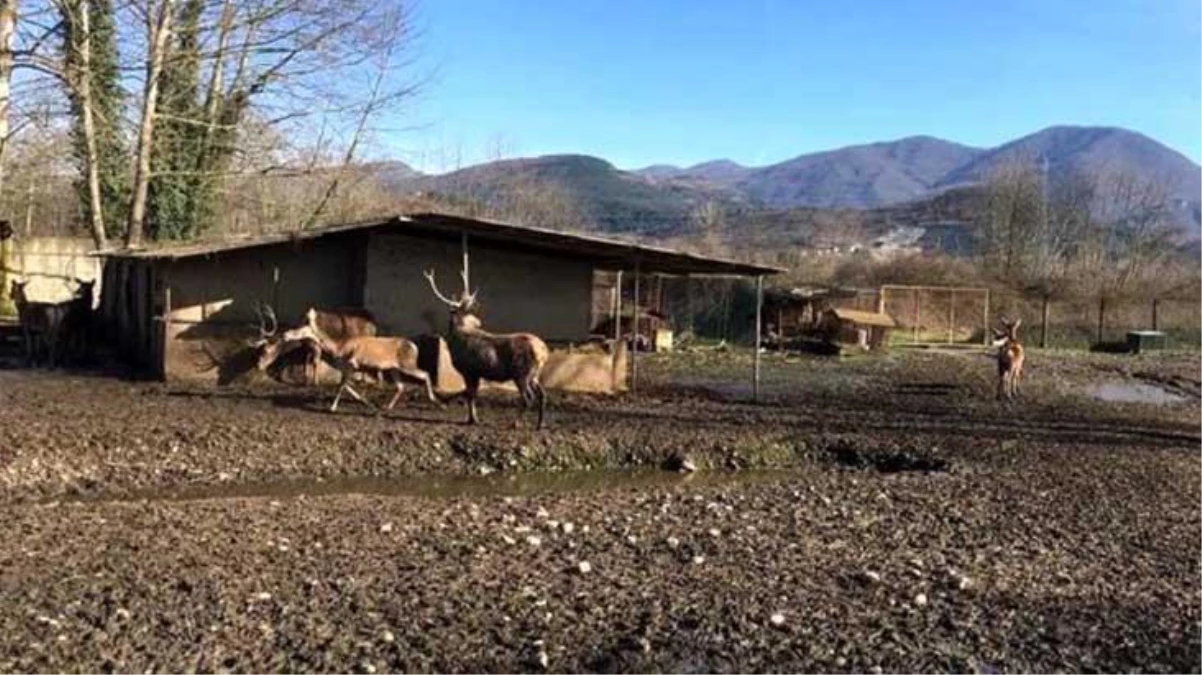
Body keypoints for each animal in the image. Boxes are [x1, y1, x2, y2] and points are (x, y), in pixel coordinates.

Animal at [252, 305, 437, 410]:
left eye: (303, 326)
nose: (287, 334)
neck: (339, 349)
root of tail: (414, 347)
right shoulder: (346, 367)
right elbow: (345, 385)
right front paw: (365, 402)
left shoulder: (351, 364)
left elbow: (341, 386)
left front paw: (333, 407)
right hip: (394, 368)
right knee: (400, 386)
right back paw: (387, 406)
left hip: (407, 365)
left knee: (425, 373)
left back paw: (433, 399)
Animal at [423, 266, 550, 427]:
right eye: (468, 313)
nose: (479, 321)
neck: (455, 339)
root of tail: (544, 352)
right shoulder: (476, 373)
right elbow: (471, 394)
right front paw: (470, 417)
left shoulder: (468, 370)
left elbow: (469, 394)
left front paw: (471, 418)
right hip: (535, 374)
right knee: (543, 395)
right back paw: (540, 424)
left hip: (521, 373)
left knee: (529, 398)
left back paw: (515, 423)